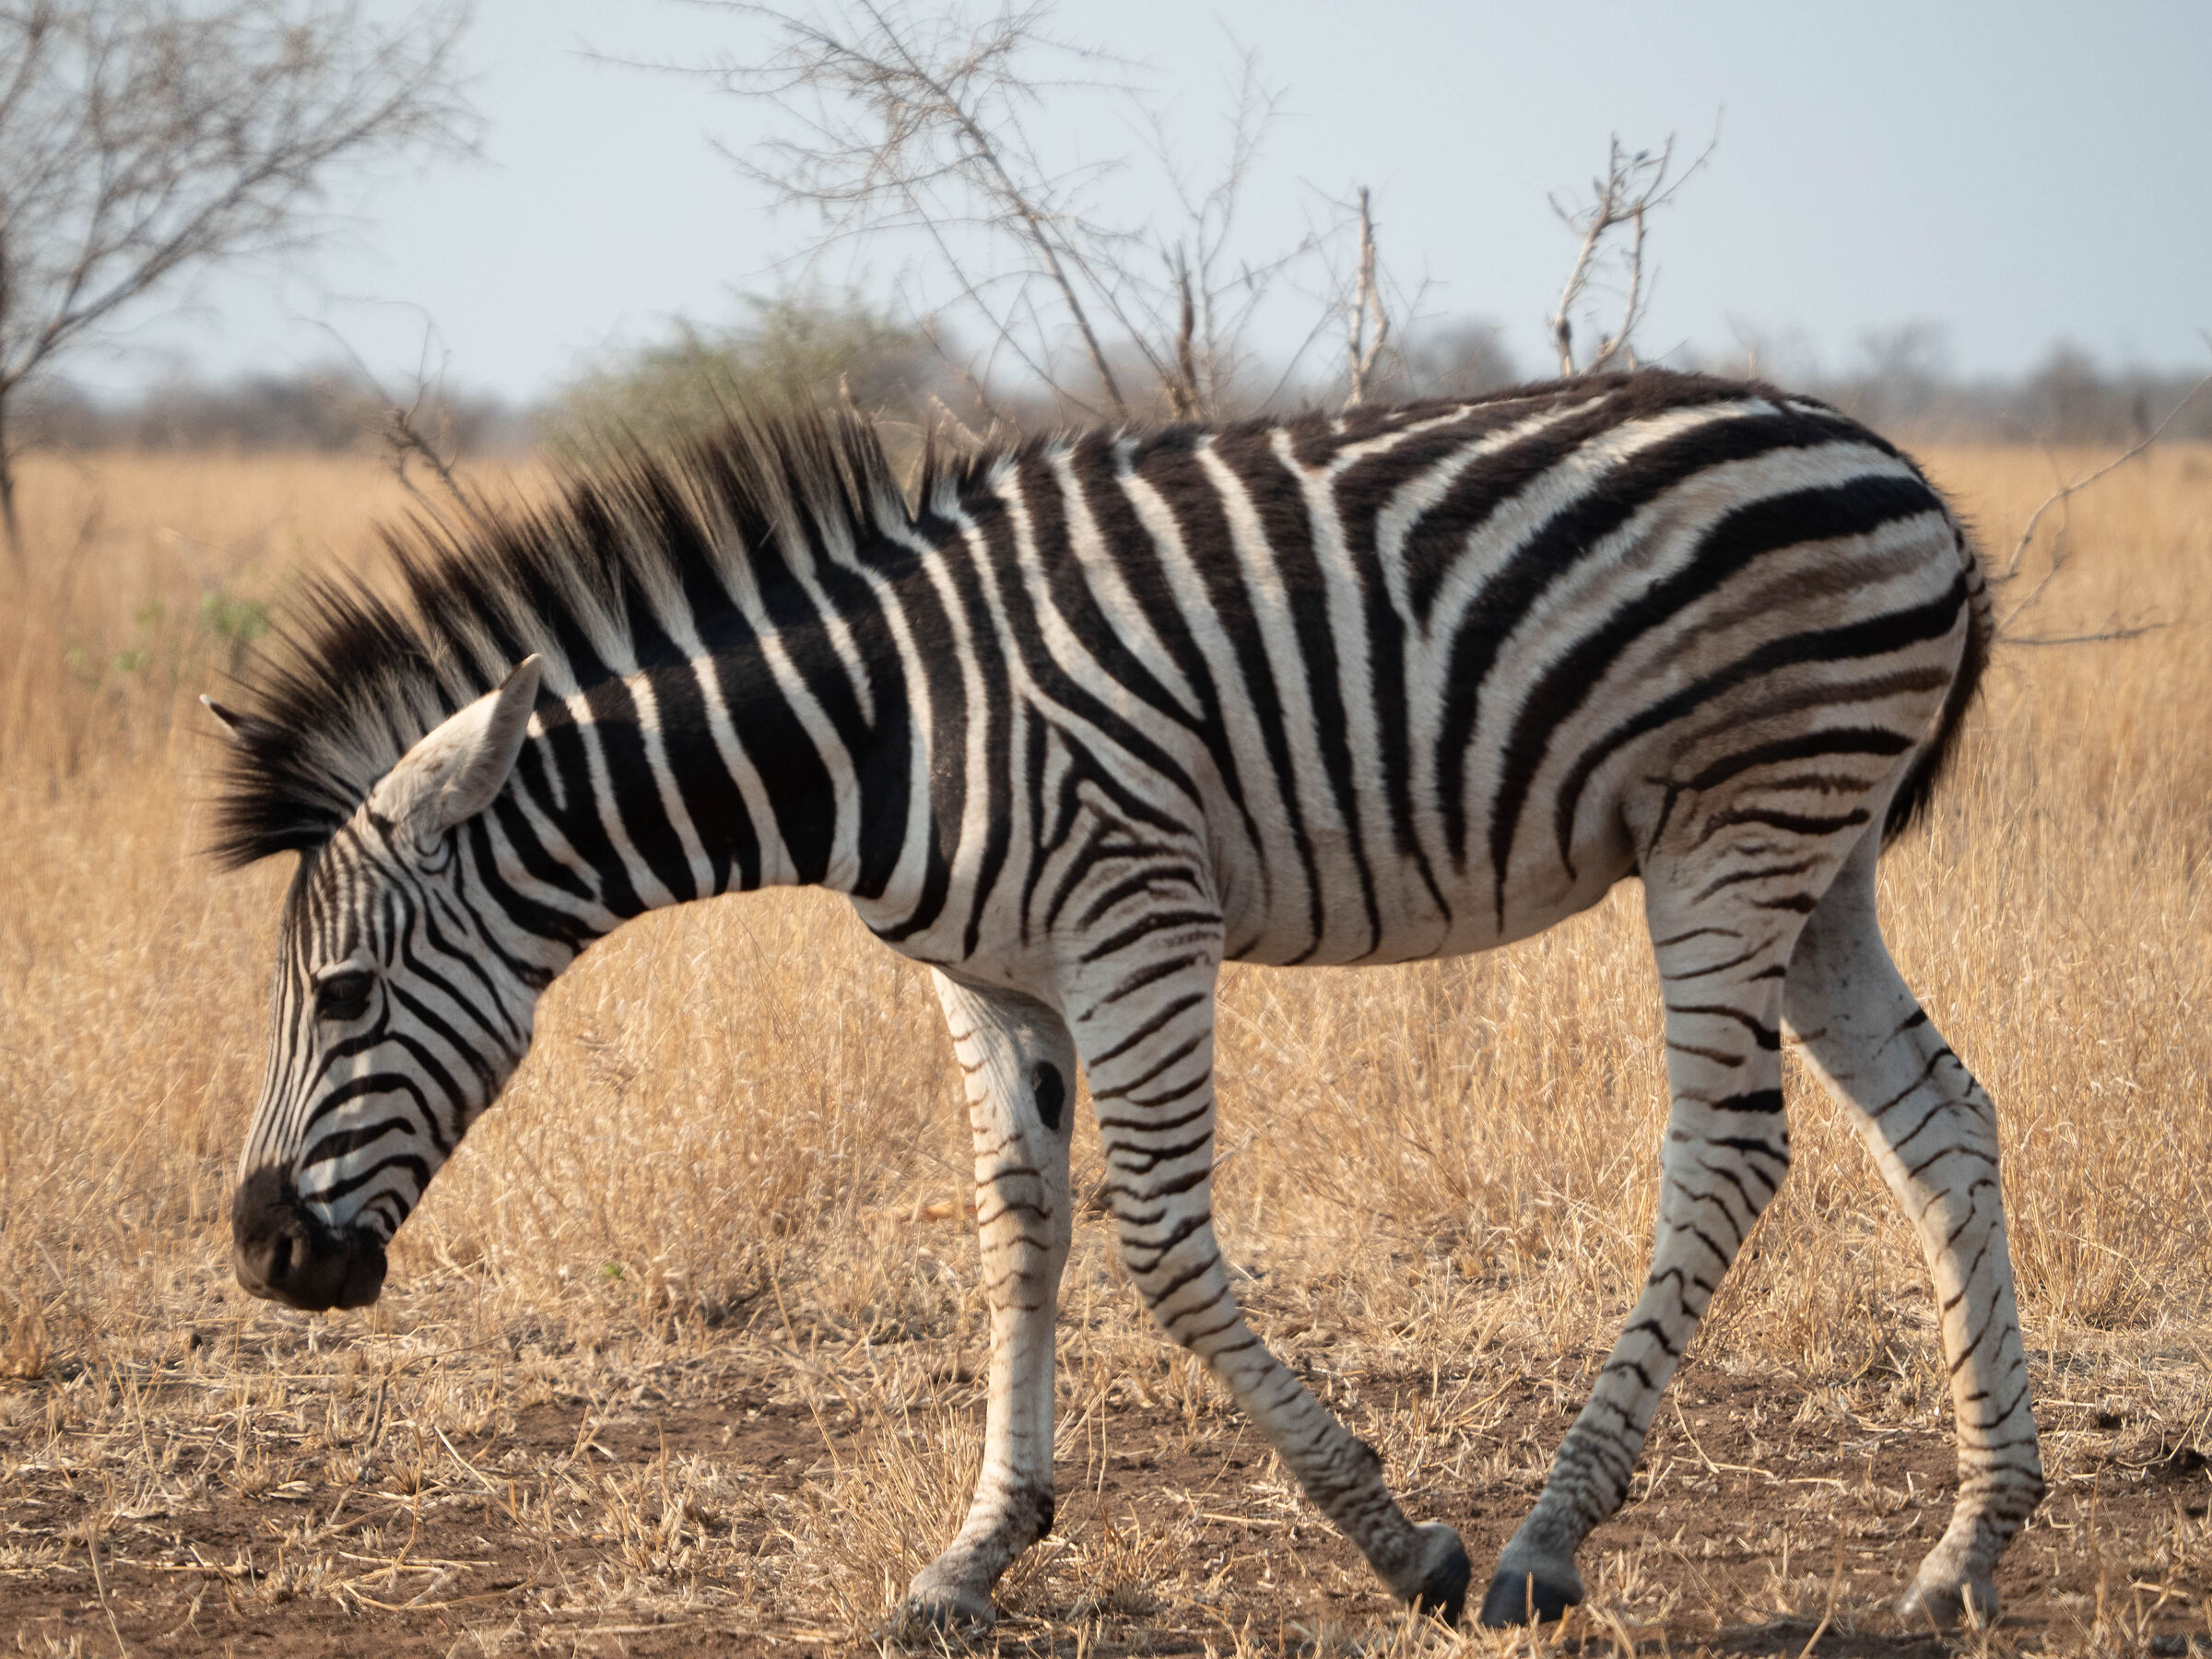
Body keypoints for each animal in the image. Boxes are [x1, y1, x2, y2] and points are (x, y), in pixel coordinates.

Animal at [208, 369, 2043, 1631]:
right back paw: (1969, 1547)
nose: (262, 1254)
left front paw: (1399, 1539)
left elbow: (1155, 1240)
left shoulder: (1136, 918)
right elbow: (1016, 1229)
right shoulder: (989, 977)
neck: (881, 726)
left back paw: (1542, 1541)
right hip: (1821, 850)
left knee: (1729, 1149)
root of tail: (1901, 471)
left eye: (347, 993)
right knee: (1946, 1116)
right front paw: (972, 1557)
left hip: (1735, 823)